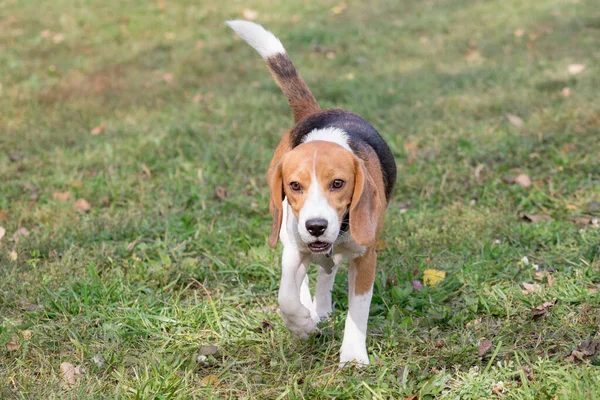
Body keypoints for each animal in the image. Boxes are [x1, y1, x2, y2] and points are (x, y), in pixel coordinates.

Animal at [227, 19, 396, 366]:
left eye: (338, 183)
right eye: (295, 185)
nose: (316, 226)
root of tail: (314, 112)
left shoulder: (366, 257)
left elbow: (358, 310)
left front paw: (353, 356)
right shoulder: (296, 248)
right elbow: (286, 296)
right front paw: (302, 326)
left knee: (328, 272)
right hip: (287, 233)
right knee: (302, 277)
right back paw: (311, 310)